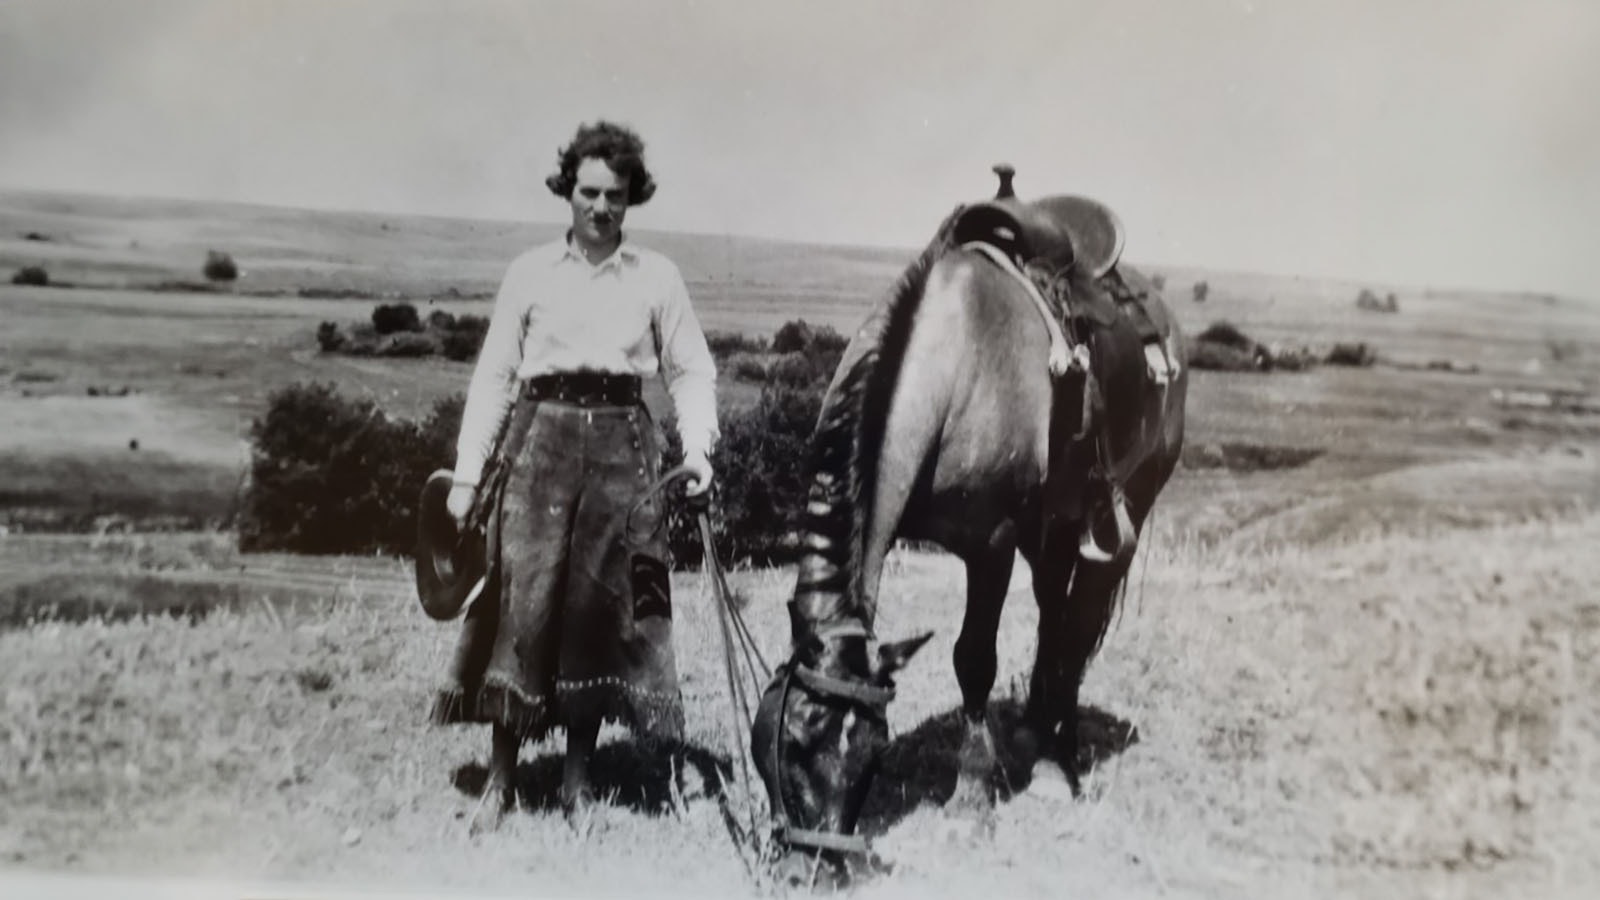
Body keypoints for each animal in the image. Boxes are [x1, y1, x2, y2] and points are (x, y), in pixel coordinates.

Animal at [748, 168, 1190, 883]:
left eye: (869, 751)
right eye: (789, 740)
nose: (808, 869)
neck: (950, 369)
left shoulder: (993, 545)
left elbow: (973, 660)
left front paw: (970, 796)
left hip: (1128, 508)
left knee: (1075, 627)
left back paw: (1057, 759)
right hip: (1052, 528)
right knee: (1052, 614)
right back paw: (1036, 732)